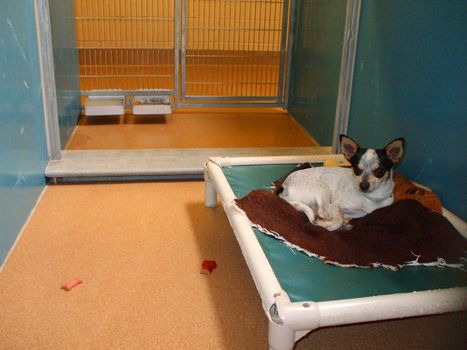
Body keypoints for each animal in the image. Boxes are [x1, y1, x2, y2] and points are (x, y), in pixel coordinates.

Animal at [278, 135, 406, 231]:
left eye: (379, 170)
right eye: (357, 170)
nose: (363, 185)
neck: (371, 197)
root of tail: (284, 188)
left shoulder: (362, 213)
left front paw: (342, 220)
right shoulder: (335, 205)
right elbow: (336, 220)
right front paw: (330, 224)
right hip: (322, 189)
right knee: (321, 212)